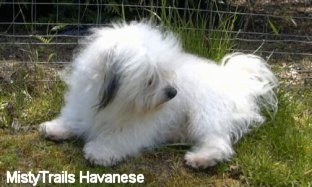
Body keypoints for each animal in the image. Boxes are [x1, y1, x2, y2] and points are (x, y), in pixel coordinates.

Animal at [39, 21, 278, 169]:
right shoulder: (84, 101)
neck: (116, 103)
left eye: (165, 73)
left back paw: (201, 158)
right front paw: (56, 128)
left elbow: (118, 138)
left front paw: (100, 151)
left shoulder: (137, 127)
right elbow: (74, 118)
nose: (173, 92)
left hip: (206, 114)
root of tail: (235, 81)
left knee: (218, 143)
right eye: (150, 79)